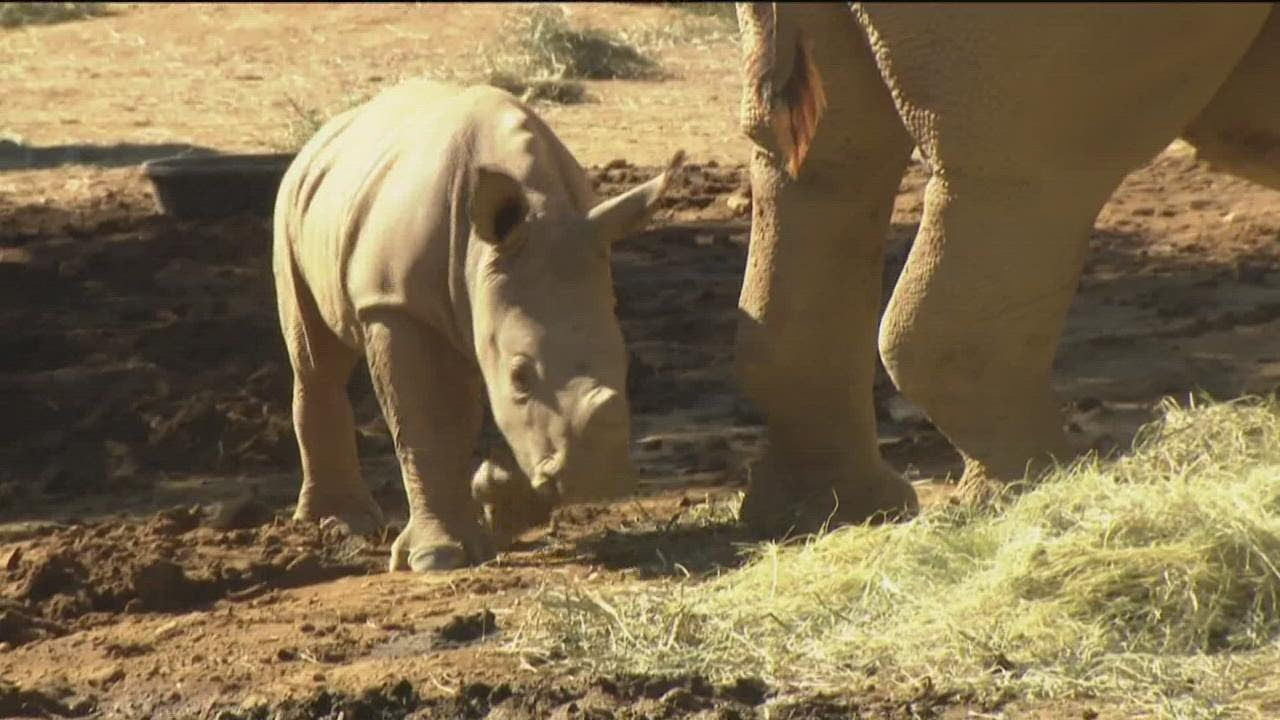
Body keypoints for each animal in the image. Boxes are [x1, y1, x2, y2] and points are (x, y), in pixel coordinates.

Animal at [273, 78, 686, 568]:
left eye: (625, 366)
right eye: (520, 376)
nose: (597, 477)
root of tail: (326, 133)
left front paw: (496, 500)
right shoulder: (396, 302)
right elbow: (427, 424)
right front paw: (437, 558)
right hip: (292, 202)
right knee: (317, 361)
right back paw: (340, 523)